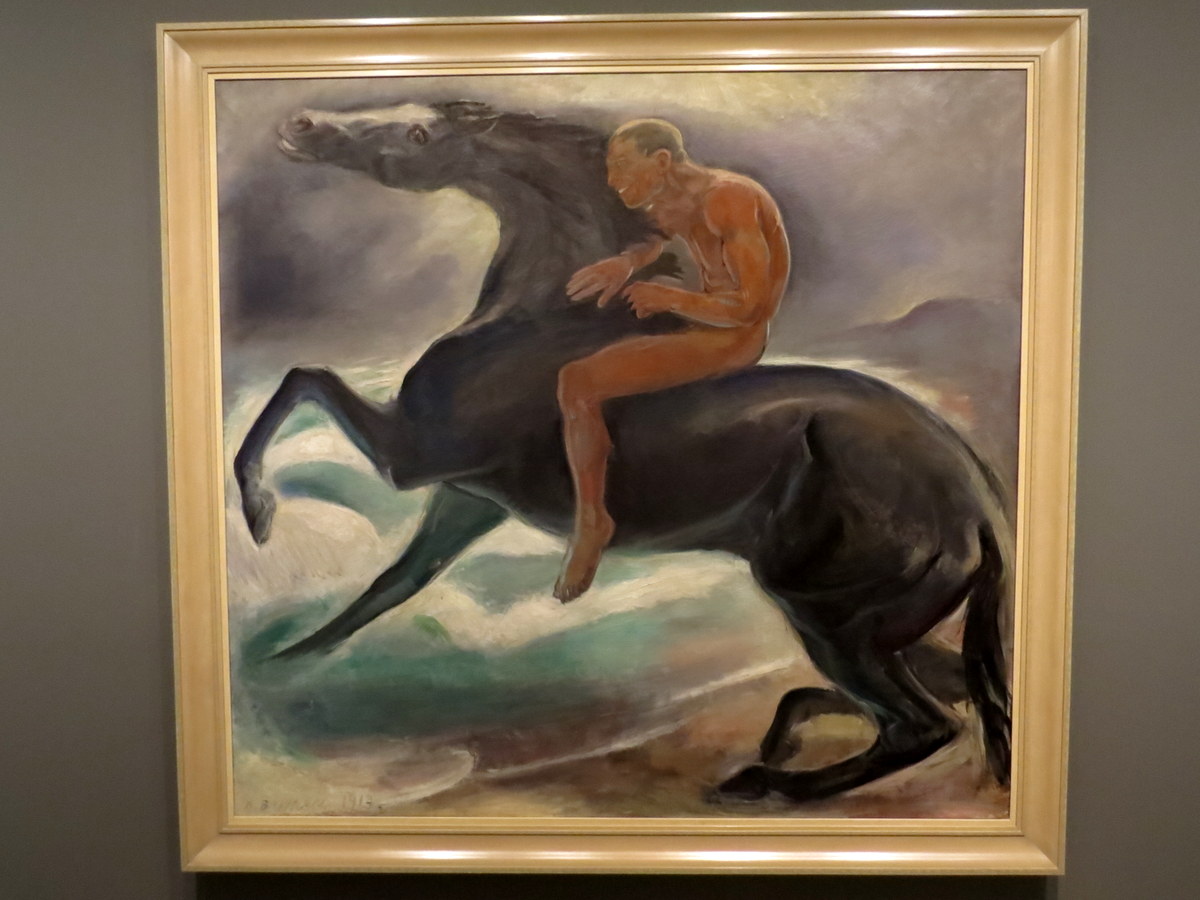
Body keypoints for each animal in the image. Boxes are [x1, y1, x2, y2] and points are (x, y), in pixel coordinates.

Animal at [233, 99, 1012, 803]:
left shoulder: (411, 457)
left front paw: (260, 515)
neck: (539, 321)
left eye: (420, 132)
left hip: (832, 619)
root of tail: (978, 505)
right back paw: (782, 737)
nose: (301, 125)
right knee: (952, 698)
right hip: (881, 623)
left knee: (921, 725)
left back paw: (765, 782)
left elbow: (304, 378)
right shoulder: (464, 501)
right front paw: (278, 663)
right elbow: (387, 587)